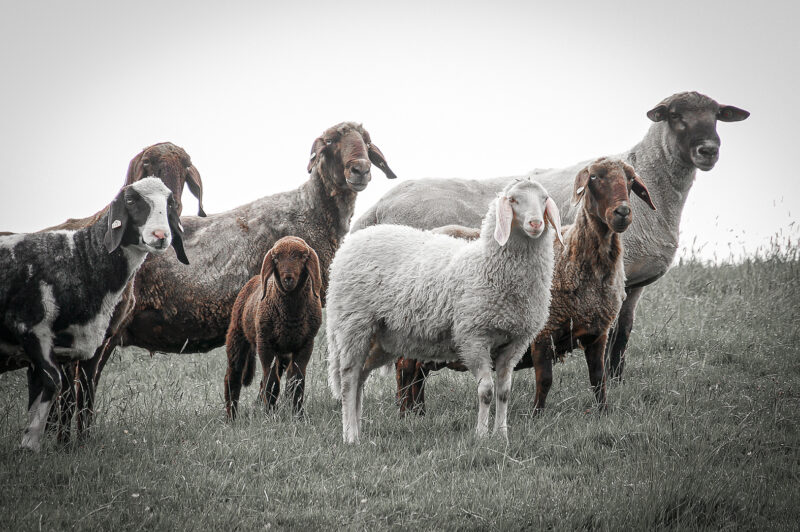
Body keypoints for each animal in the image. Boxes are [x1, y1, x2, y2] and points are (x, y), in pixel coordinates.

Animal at [0, 177, 188, 451]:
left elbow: (82, 393)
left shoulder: (83, 347)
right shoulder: (32, 330)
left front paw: (77, 444)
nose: (161, 236)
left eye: (171, 202)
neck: (81, 257)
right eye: (130, 200)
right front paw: (35, 445)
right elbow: (56, 386)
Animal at [224, 236, 322, 420]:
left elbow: (296, 381)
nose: (288, 278)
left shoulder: (305, 344)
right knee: (233, 376)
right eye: (276, 258)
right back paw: (231, 416)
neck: (291, 315)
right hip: (237, 335)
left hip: (281, 352)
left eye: (302, 257)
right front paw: (270, 414)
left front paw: (298, 415)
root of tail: (255, 278)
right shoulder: (265, 343)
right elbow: (272, 381)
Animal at [326, 178, 562, 443]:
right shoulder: (473, 337)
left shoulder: (515, 342)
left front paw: (501, 436)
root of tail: (351, 242)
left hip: (381, 338)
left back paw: (356, 431)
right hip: (353, 324)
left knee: (360, 377)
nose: (536, 223)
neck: (486, 263)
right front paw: (481, 436)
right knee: (348, 378)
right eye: (512, 200)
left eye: (544, 199)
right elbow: (486, 391)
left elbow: (503, 392)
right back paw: (350, 437)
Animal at [351, 91, 749, 379]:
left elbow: (622, 335)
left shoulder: (633, 284)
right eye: (676, 117)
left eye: (716, 116)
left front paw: (617, 380)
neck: (655, 181)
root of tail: (378, 206)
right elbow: (608, 337)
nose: (708, 151)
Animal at [394, 158, 658, 414]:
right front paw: (536, 416)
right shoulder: (544, 332)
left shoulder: (596, 331)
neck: (575, 255)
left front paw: (603, 413)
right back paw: (407, 413)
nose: (622, 212)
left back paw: (418, 411)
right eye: (594, 177)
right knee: (406, 369)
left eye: (630, 180)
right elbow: (545, 380)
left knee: (417, 372)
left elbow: (598, 378)